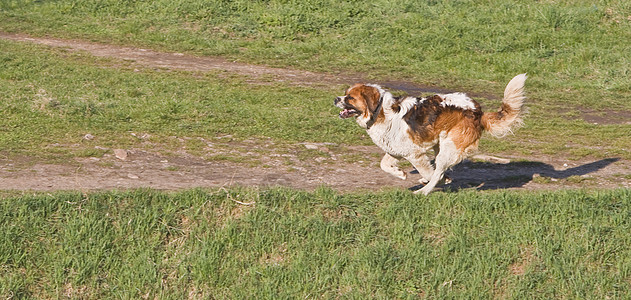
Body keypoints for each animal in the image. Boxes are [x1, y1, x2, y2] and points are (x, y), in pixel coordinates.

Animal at [336, 74, 528, 196]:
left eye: (350, 98)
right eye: (345, 95)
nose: (336, 99)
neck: (380, 112)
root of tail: (478, 111)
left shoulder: (415, 154)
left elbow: (431, 173)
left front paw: (440, 181)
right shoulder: (395, 150)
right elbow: (384, 165)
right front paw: (400, 173)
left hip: (448, 147)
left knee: (437, 171)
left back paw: (423, 191)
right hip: (440, 146)